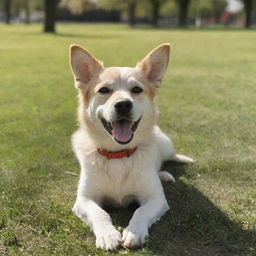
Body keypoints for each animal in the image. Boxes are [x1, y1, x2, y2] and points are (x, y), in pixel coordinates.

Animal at [69, 43, 193, 250]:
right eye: (104, 90)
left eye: (136, 89)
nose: (123, 105)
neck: (118, 154)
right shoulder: (84, 200)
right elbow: (100, 213)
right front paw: (108, 235)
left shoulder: (156, 199)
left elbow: (140, 212)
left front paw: (134, 232)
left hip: (166, 145)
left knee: (169, 158)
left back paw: (167, 172)